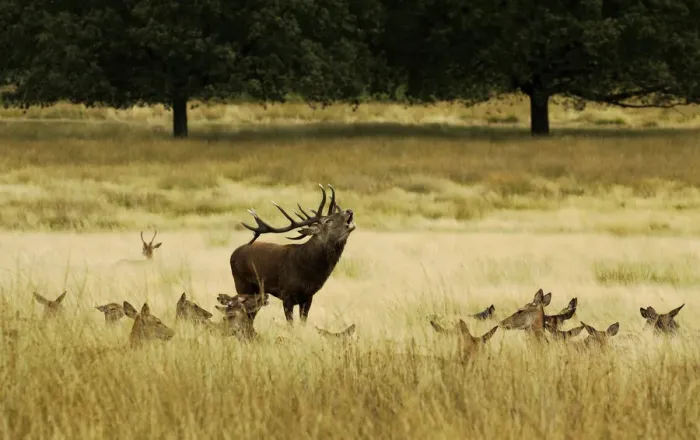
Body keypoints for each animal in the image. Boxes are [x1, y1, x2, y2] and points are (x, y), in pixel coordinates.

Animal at [229, 184, 356, 325]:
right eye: (328, 220)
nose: (349, 211)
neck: (310, 272)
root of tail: (233, 254)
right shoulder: (286, 295)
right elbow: (290, 325)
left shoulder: (308, 297)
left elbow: (303, 323)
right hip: (241, 283)